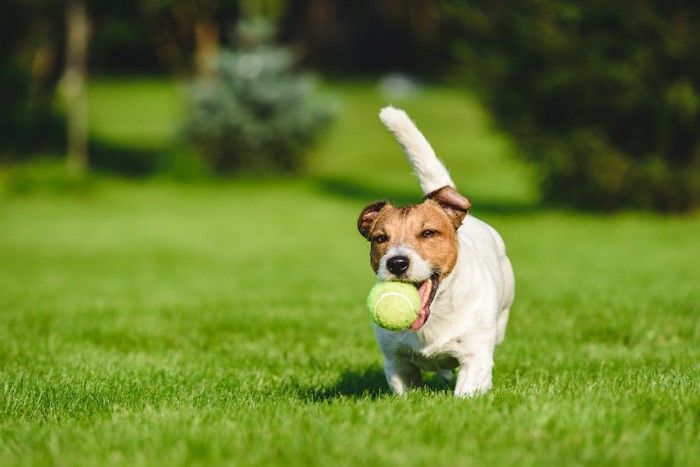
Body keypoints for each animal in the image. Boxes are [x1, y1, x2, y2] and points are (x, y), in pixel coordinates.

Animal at [360, 107, 516, 398]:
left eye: (429, 233)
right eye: (380, 238)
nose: (397, 262)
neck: (435, 316)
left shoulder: (475, 354)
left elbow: (468, 389)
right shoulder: (396, 361)